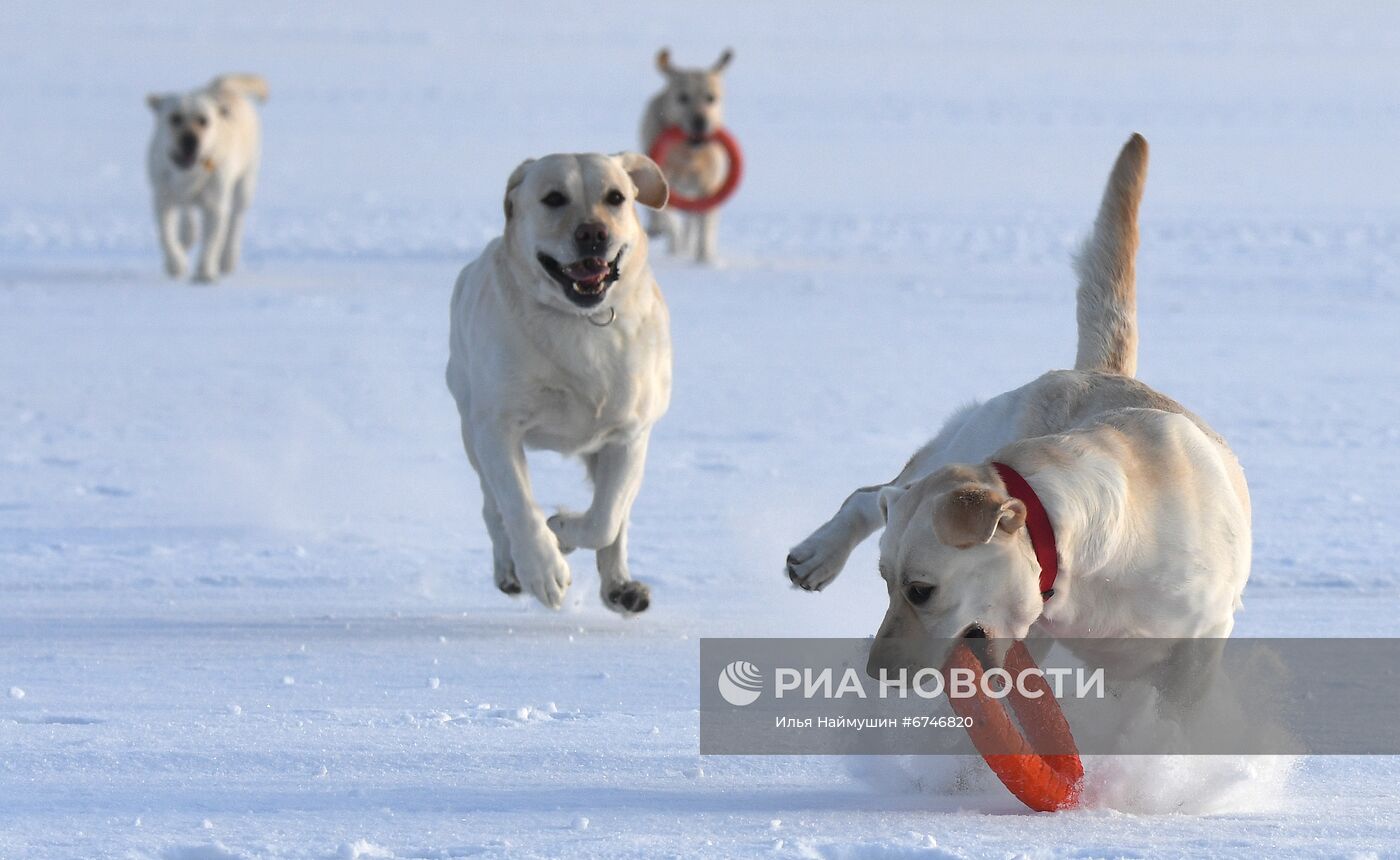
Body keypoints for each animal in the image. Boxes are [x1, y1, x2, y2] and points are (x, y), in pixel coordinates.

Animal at [144, 74, 267, 282]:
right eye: (175, 118)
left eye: (203, 120)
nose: (190, 139)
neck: (188, 172)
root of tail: (224, 87)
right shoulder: (162, 198)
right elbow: (167, 235)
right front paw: (176, 264)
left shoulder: (215, 204)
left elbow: (211, 241)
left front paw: (205, 272)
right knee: (187, 214)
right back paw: (187, 236)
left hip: (245, 184)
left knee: (235, 221)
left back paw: (227, 259)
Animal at [445, 153, 669, 613]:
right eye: (553, 198)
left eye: (616, 197)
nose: (593, 233)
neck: (581, 322)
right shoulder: (495, 429)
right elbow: (517, 503)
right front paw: (544, 568)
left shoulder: (630, 435)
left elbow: (605, 519)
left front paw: (562, 530)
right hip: (468, 425)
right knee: (492, 506)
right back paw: (510, 569)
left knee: (617, 518)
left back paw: (622, 588)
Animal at [641, 46, 733, 263]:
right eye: (683, 97)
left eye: (711, 97)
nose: (700, 122)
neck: (688, 155)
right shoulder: (665, 186)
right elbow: (670, 220)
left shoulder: (708, 188)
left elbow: (704, 226)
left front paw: (704, 259)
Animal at [784, 136, 1254, 675]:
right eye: (884, 582)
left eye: (920, 590)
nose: (876, 669)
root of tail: (1106, 373)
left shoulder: (1199, 641)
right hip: (975, 434)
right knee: (870, 495)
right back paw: (816, 556)